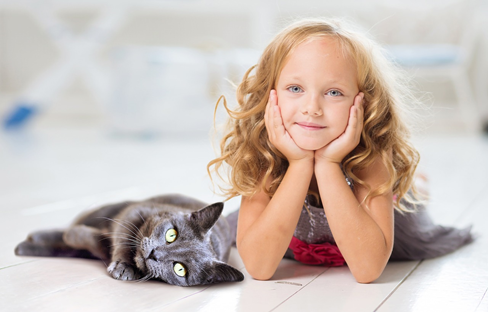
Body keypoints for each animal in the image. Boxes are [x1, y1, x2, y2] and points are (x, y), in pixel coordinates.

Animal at [14, 194, 244, 286]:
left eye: (180, 269)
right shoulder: (135, 211)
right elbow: (123, 239)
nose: (154, 254)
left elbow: (98, 243)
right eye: (172, 234)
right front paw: (124, 267)